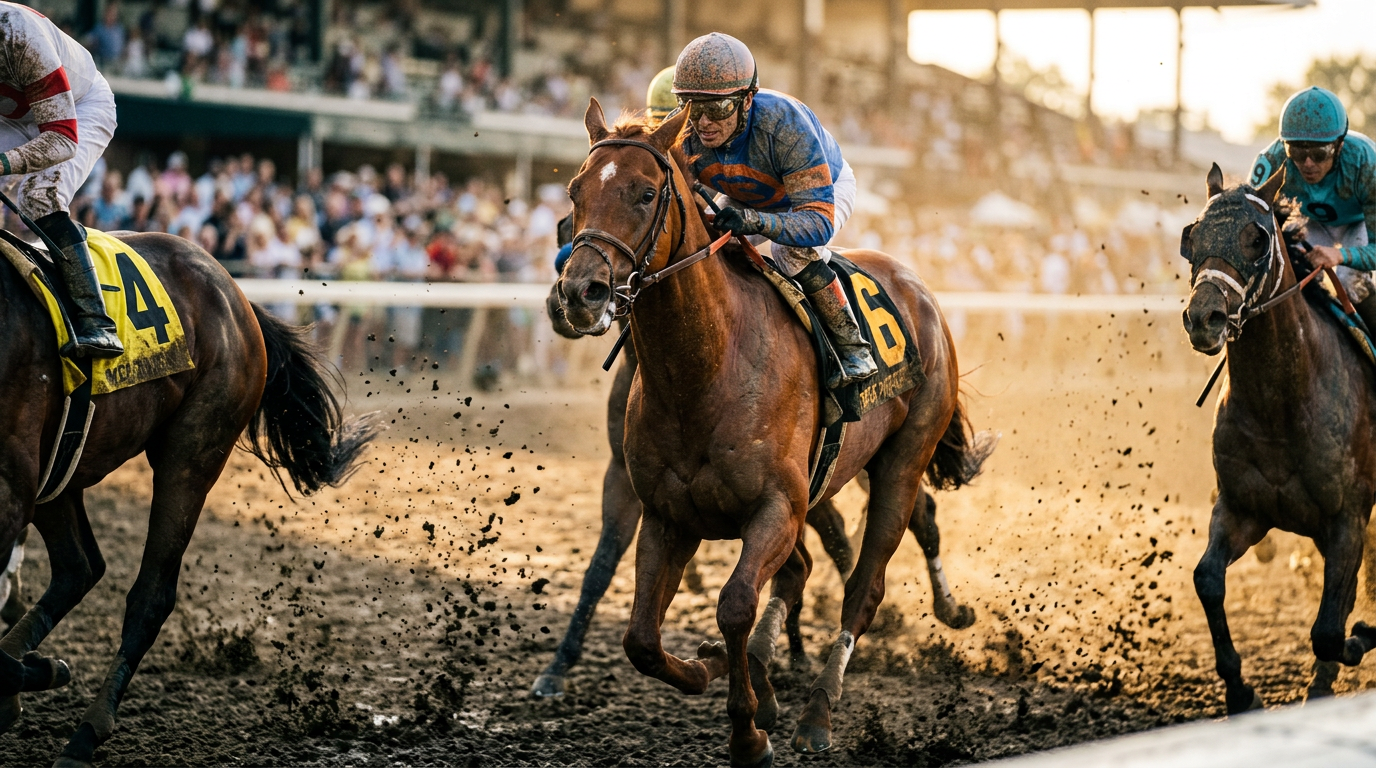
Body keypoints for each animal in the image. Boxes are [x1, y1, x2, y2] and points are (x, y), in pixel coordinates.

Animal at [0, 230, 377, 766]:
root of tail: (235, 292)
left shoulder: (11, 487)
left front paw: (40, 672)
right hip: (60, 466)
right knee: (80, 567)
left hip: (192, 456)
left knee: (149, 596)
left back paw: (84, 732)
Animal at [557, 101, 993, 766]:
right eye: (575, 192)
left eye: (646, 192)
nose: (581, 293)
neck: (706, 367)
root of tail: (921, 291)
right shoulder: (667, 514)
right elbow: (641, 640)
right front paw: (709, 671)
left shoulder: (778, 508)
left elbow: (736, 604)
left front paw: (747, 733)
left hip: (900, 461)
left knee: (865, 585)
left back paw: (818, 712)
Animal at [1182, 163, 1376, 714]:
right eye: (1191, 236)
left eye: (1257, 238)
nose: (1203, 318)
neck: (1282, 405)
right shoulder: (1242, 509)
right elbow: (1208, 580)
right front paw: (1239, 689)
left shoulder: (1348, 518)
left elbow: (1331, 629)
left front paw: (1361, 638)